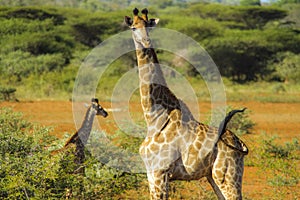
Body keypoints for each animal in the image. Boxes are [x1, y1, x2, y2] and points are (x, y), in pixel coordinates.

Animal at [124, 8, 248, 199]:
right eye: (133, 27)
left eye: (149, 26)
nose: (146, 41)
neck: (154, 118)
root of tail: (239, 143)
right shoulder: (151, 173)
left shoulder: (160, 172)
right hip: (214, 177)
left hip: (227, 176)